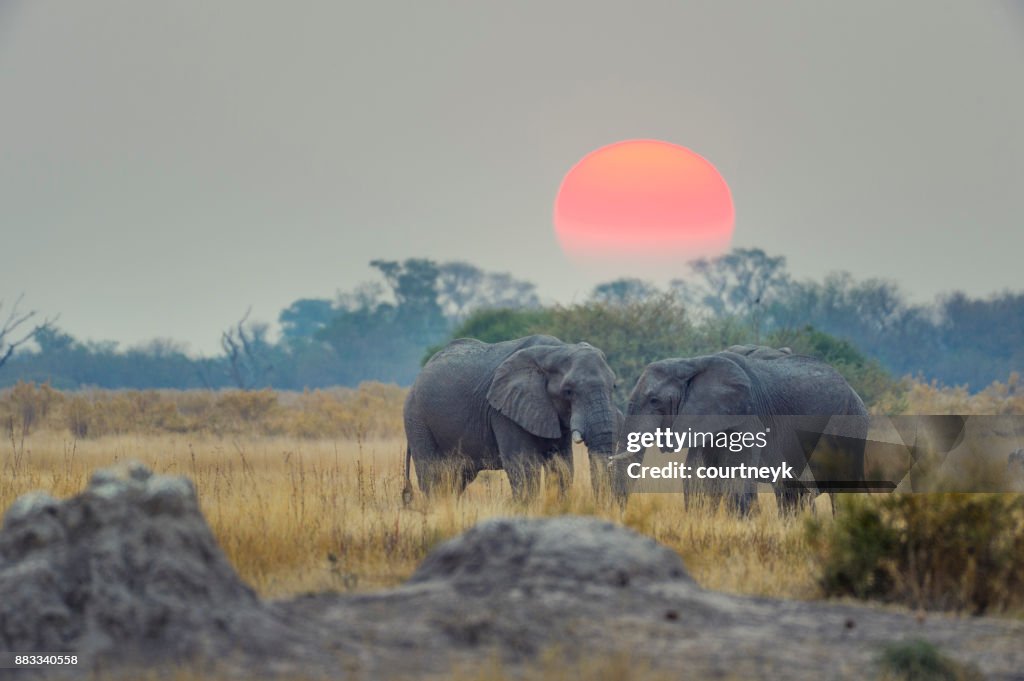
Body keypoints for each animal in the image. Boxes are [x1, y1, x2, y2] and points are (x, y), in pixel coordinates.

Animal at [403, 333, 618, 499]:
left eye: (614, 387)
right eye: (568, 391)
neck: (557, 350)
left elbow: (562, 466)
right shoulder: (504, 412)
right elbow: (523, 468)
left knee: (456, 479)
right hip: (416, 418)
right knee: (433, 477)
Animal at [610, 342, 868, 512]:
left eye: (654, 401)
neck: (692, 363)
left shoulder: (747, 417)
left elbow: (736, 479)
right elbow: (696, 477)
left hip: (849, 423)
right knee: (792, 491)